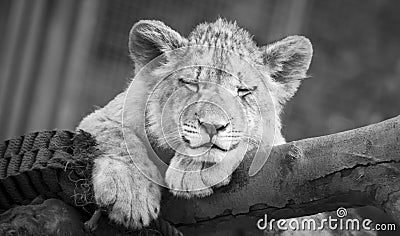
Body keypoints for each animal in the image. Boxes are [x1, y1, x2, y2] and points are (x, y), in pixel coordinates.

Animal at [78, 18, 314, 229]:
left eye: (243, 91)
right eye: (191, 83)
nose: (212, 126)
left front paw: (194, 168)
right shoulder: (106, 115)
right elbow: (118, 137)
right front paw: (131, 192)